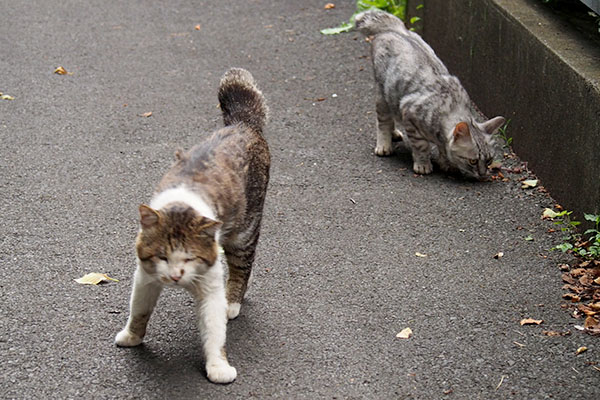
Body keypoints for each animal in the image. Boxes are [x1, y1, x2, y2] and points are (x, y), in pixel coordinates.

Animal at [115, 69, 270, 384]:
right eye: (163, 256)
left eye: (189, 258)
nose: (176, 276)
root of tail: (242, 123)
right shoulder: (145, 277)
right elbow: (139, 310)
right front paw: (132, 336)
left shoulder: (210, 286)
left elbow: (214, 333)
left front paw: (218, 367)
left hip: (244, 233)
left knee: (242, 268)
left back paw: (232, 303)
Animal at [356, 8, 506, 180]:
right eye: (473, 161)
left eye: (489, 160)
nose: (482, 174)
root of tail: (396, 29)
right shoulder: (409, 114)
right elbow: (421, 146)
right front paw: (423, 164)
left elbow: (443, 149)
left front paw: (446, 163)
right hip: (382, 95)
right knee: (383, 121)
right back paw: (384, 144)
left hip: (392, 96)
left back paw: (394, 133)